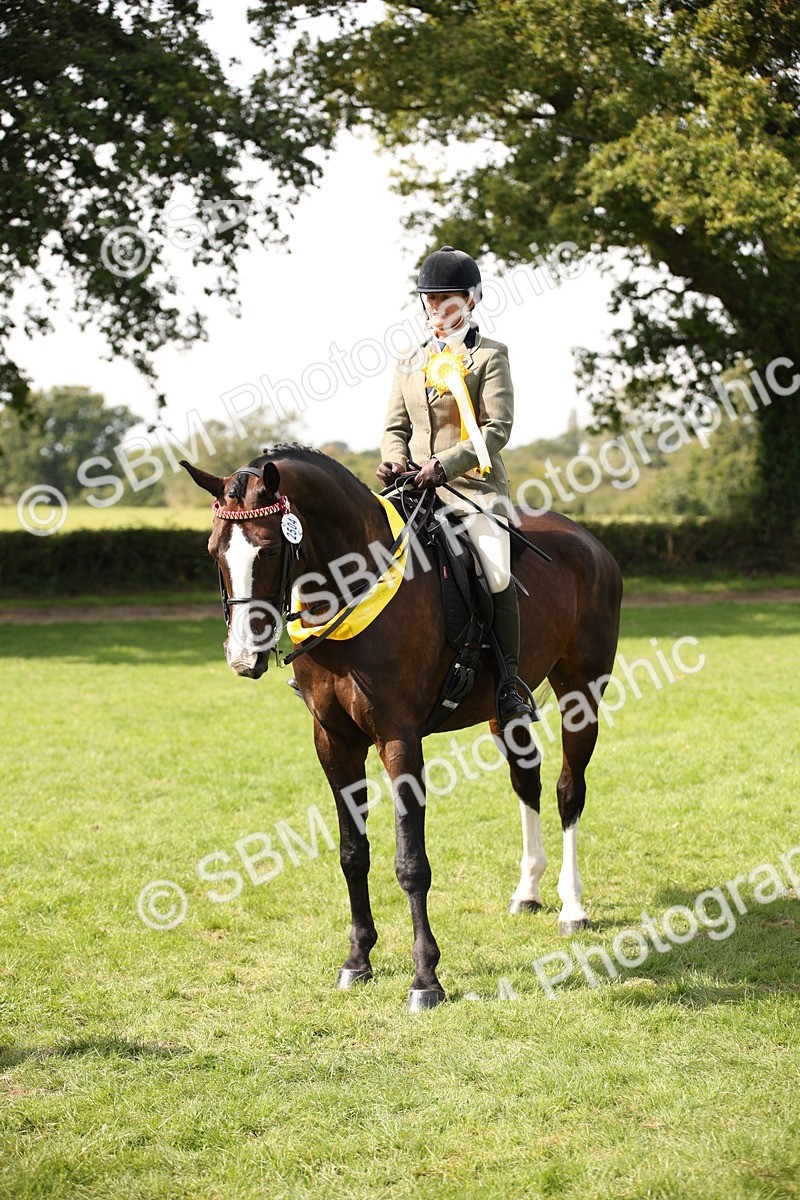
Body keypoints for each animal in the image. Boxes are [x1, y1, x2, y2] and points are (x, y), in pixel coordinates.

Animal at [182, 445, 623, 1010]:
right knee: (527, 780)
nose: (242, 657)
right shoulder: (334, 742)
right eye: (214, 550)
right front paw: (357, 960)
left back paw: (572, 907)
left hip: (581, 693)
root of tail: (589, 541)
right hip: (505, 709)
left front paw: (425, 978)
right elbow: (353, 853)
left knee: (570, 790)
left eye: (271, 548)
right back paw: (528, 892)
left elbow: (411, 861)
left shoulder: (399, 739)